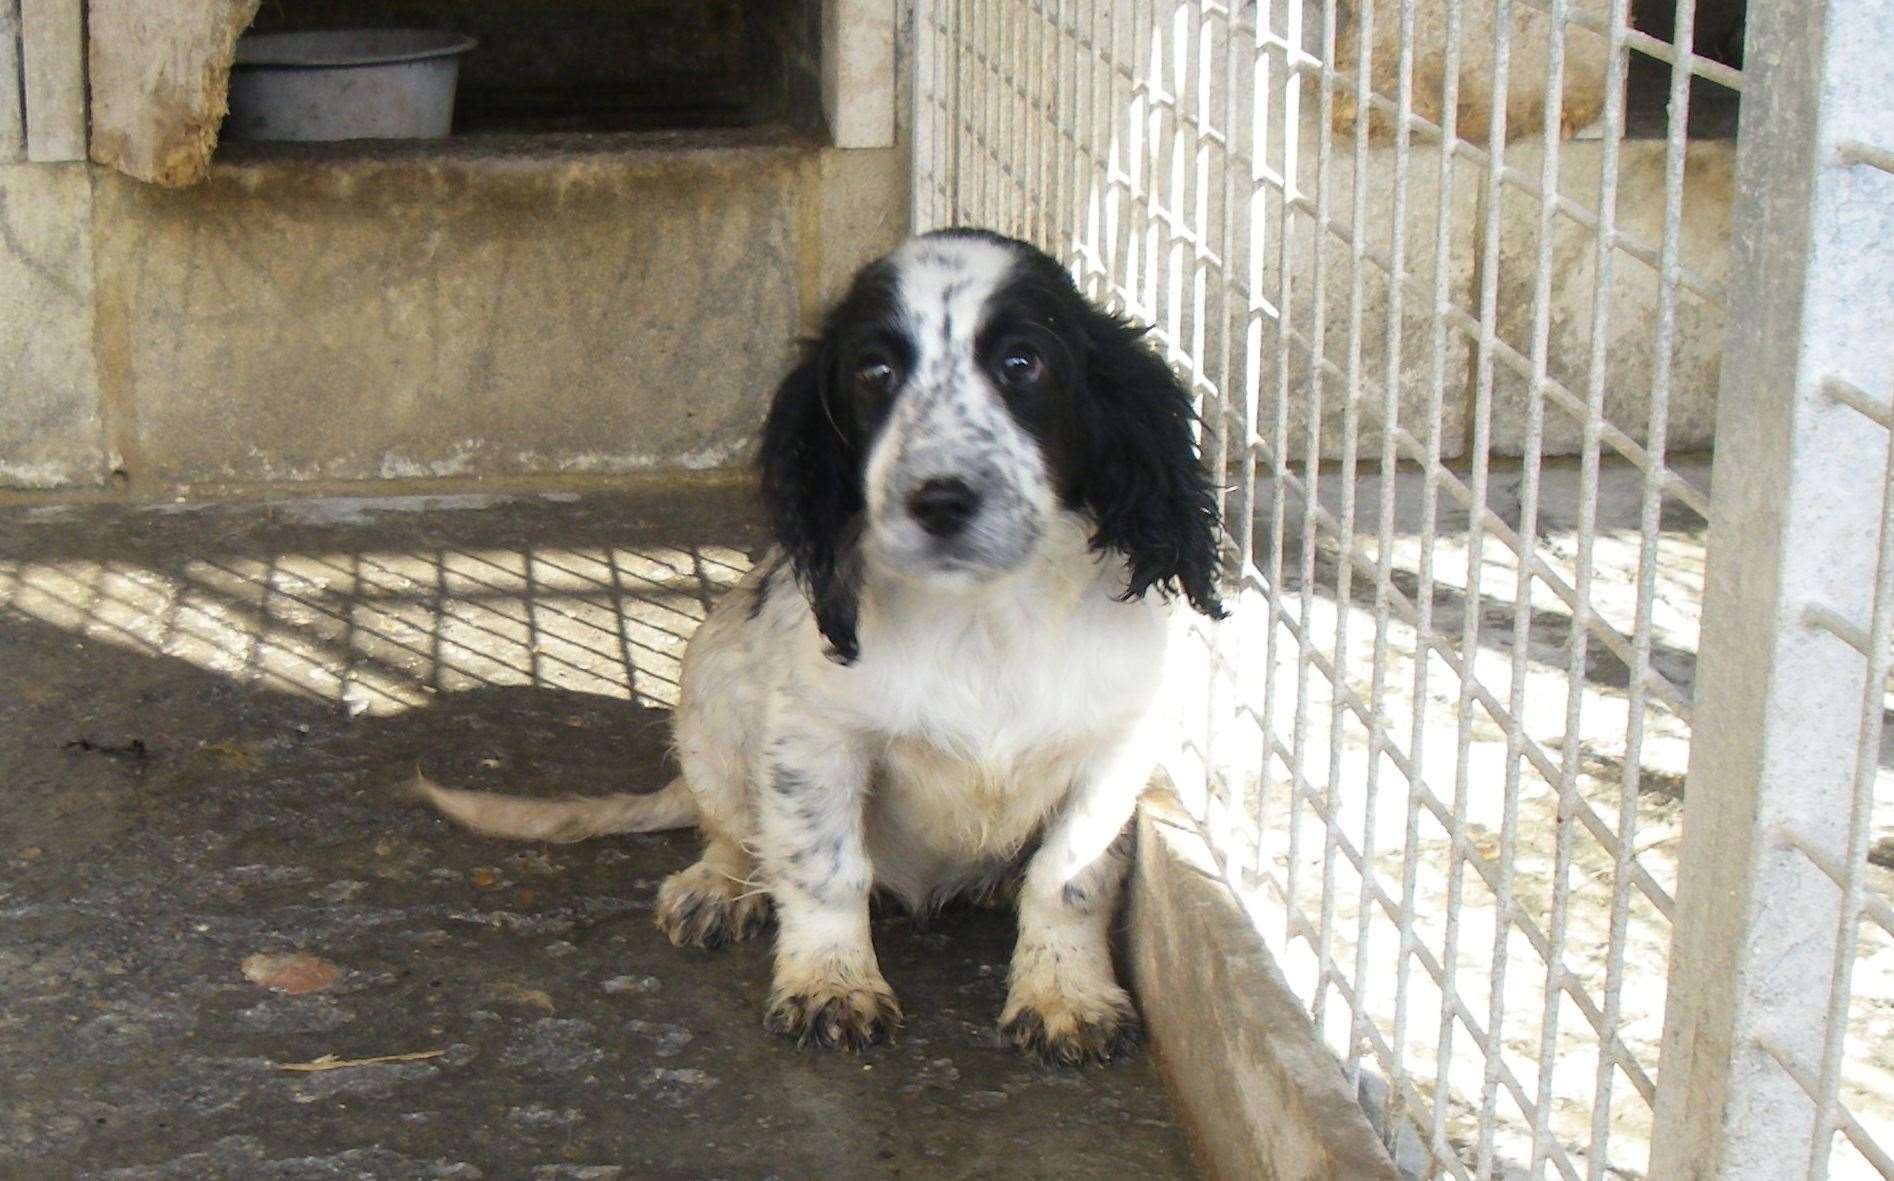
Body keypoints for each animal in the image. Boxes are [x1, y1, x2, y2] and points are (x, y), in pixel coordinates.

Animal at [420, 228, 1219, 1059]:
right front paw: (831, 982)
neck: (982, 618)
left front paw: (1067, 993)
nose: (940, 500)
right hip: (711, 691)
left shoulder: (1115, 747)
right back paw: (718, 887)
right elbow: (824, 865)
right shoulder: (816, 737)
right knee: (734, 827)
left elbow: (1071, 874)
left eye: (1022, 362)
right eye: (875, 372)